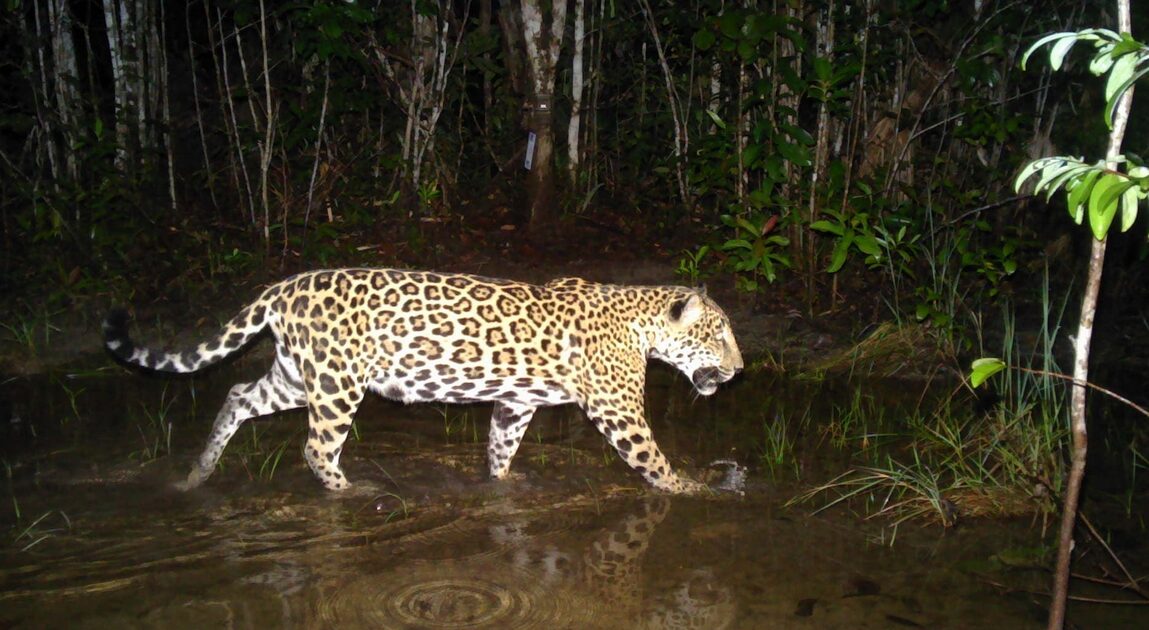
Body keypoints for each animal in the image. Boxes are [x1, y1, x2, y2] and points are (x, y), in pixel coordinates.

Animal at [103, 268, 743, 494]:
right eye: (717, 336)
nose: (739, 370)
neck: (640, 322)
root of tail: (284, 286)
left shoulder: (516, 402)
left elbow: (501, 446)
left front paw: (501, 486)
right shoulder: (619, 411)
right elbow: (654, 461)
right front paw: (696, 491)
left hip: (296, 375)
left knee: (236, 396)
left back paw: (197, 473)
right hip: (336, 383)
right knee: (316, 447)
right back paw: (350, 492)